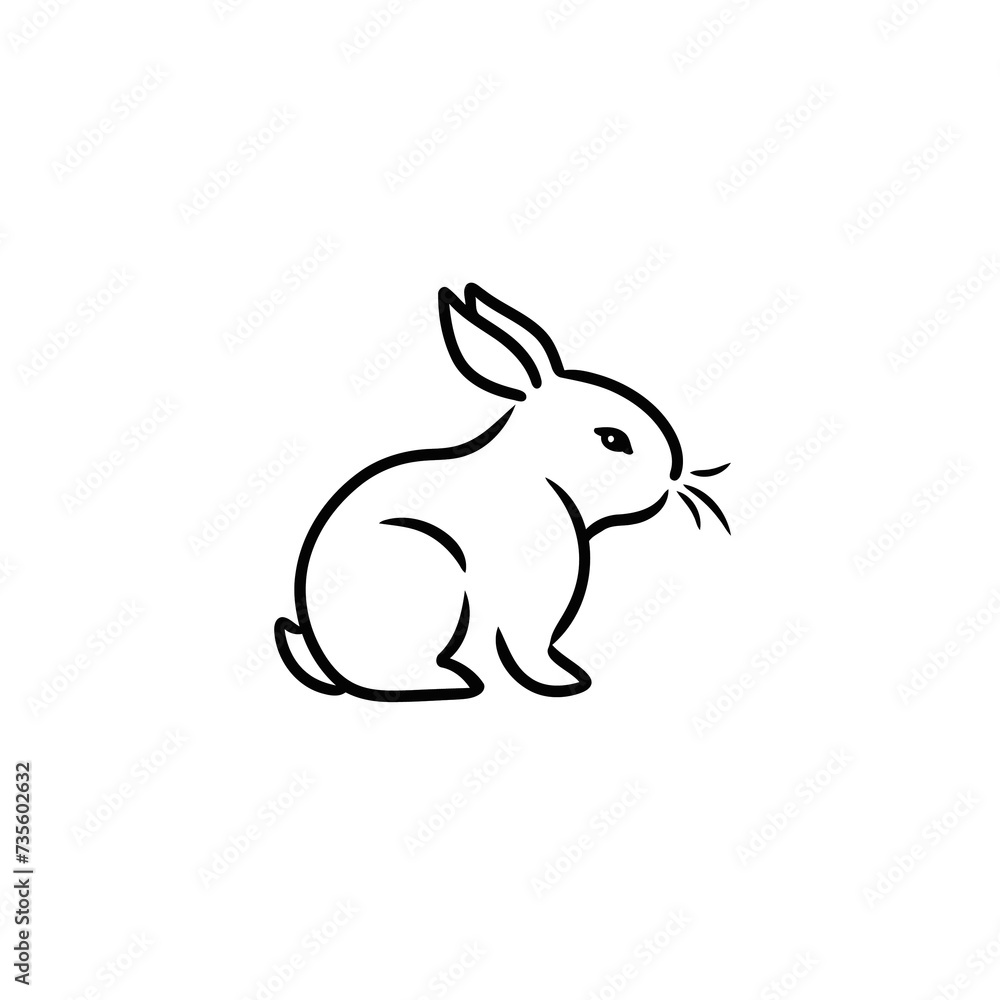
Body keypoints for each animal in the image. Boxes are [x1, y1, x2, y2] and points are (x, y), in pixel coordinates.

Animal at [275, 283, 729, 701]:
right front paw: (562, 682)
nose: (671, 479)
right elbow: (530, 645)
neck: (537, 467)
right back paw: (454, 683)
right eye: (613, 439)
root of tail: (323, 658)